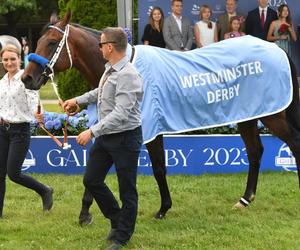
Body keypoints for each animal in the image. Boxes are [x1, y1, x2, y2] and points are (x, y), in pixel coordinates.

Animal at [22, 11, 300, 223]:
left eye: (51, 43)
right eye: (38, 41)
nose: (26, 78)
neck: (126, 68)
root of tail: (275, 49)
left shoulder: (148, 130)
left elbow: (157, 168)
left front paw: (163, 208)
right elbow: (96, 170)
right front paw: (85, 213)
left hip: (273, 116)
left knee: (293, 143)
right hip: (248, 115)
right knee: (254, 152)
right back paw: (244, 199)